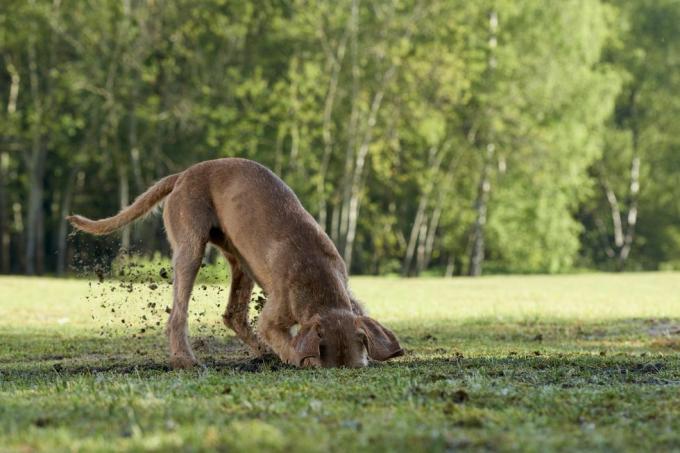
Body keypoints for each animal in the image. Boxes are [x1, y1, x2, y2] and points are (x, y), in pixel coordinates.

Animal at [66, 158, 402, 368]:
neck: (320, 283)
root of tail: (183, 174)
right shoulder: (273, 318)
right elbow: (289, 345)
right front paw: (296, 358)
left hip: (240, 261)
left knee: (233, 315)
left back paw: (260, 352)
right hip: (190, 248)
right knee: (178, 314)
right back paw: (184, 360)